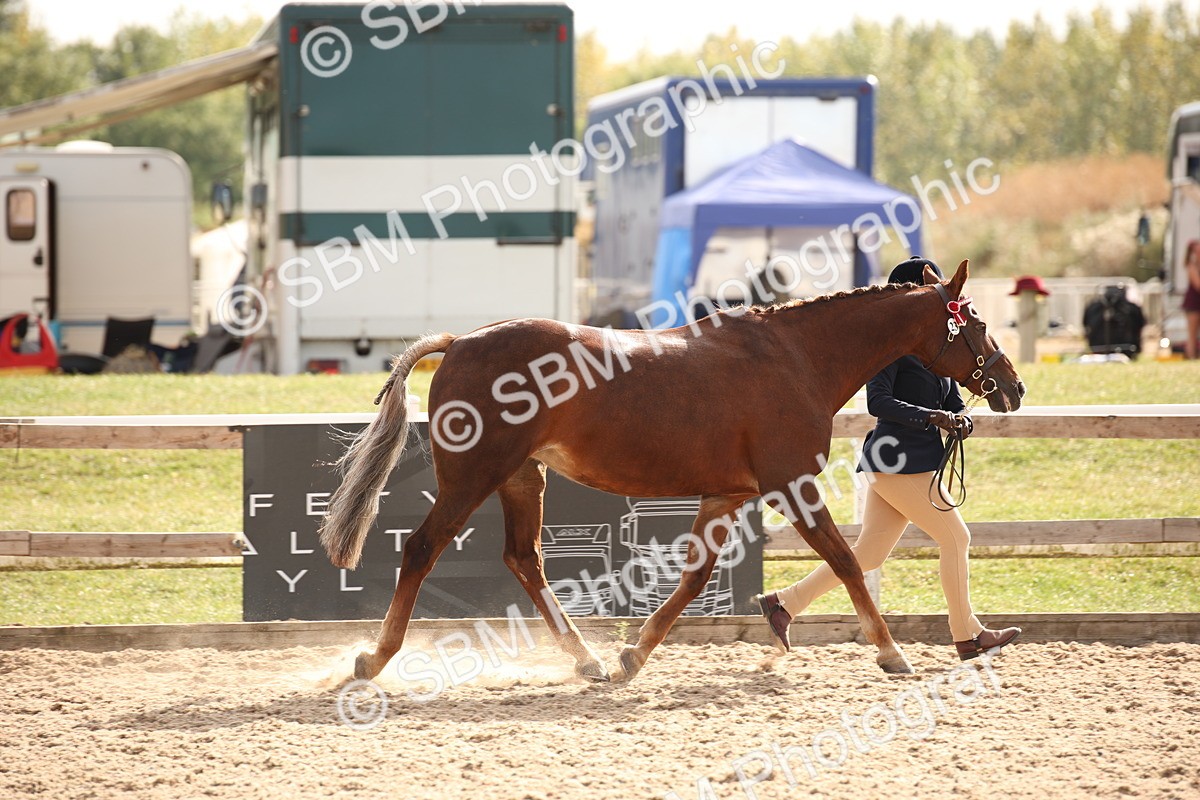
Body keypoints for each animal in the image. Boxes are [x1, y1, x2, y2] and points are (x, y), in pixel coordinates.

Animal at [318, 259, 1025, 683]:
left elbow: (694, 579)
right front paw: (891, 652)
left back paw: (589, 660)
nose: (1012, 387)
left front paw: (633, 654)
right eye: (977, 321)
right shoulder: (789, 486)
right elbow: (847, 560)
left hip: (522, 478)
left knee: (524, 560)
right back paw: (373, 658)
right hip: (473, 477)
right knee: (422, 548)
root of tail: (460, 342)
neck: (797, 357)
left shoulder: (725, 495)